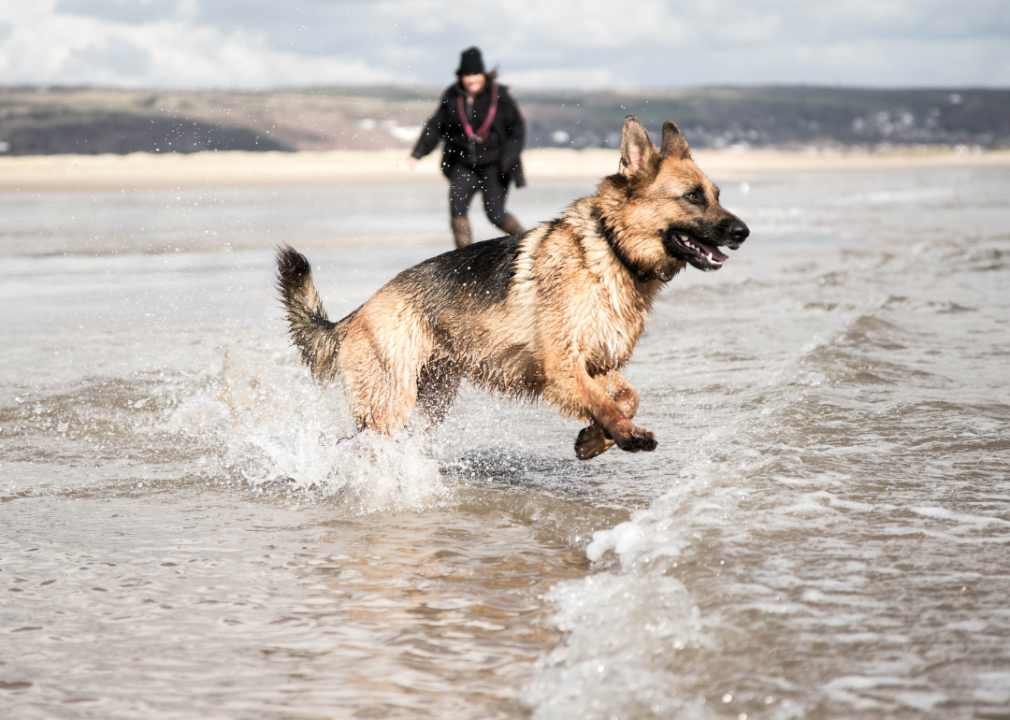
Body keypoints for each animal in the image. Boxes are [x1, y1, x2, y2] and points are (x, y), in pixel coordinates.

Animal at [278, 115, 751, 458]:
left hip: (430, 399)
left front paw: (595, 439)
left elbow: (627, 397)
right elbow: (602, 402)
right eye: (692, 197)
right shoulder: (563, 366)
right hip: (392, 403)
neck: (612, 250)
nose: (743, 231)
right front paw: (623, 434)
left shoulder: (600, 364)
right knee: (364, 441)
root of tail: (358, 311)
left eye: (717, 194)